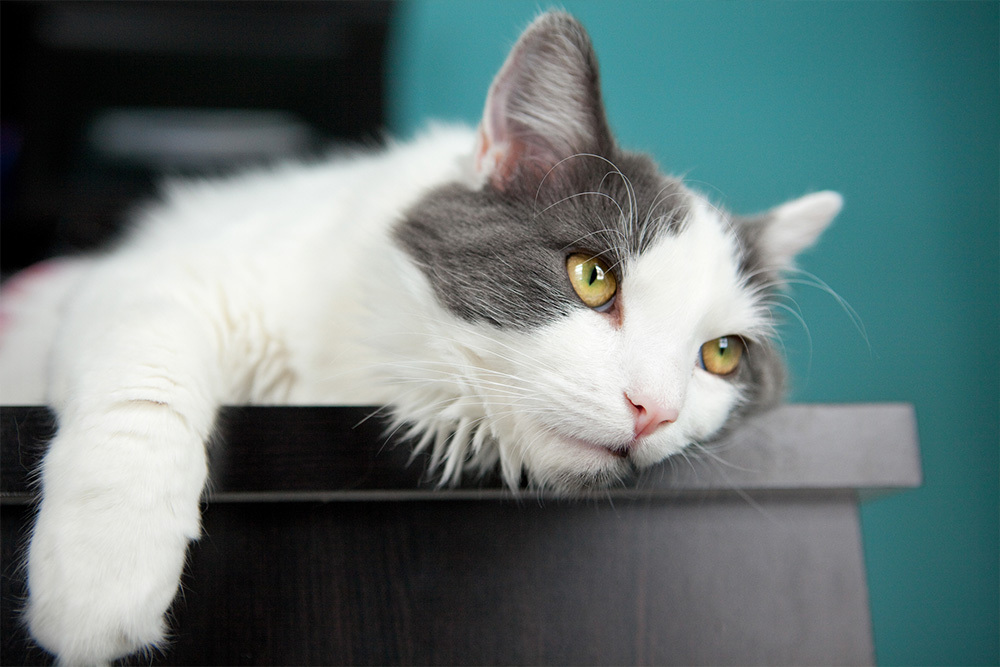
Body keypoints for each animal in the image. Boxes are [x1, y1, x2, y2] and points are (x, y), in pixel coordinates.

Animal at [0, 11, 840, 667]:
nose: (654, 410)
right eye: (593, 276)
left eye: (721, 355)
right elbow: (143, 396)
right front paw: (102, 577)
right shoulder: (157, 278)